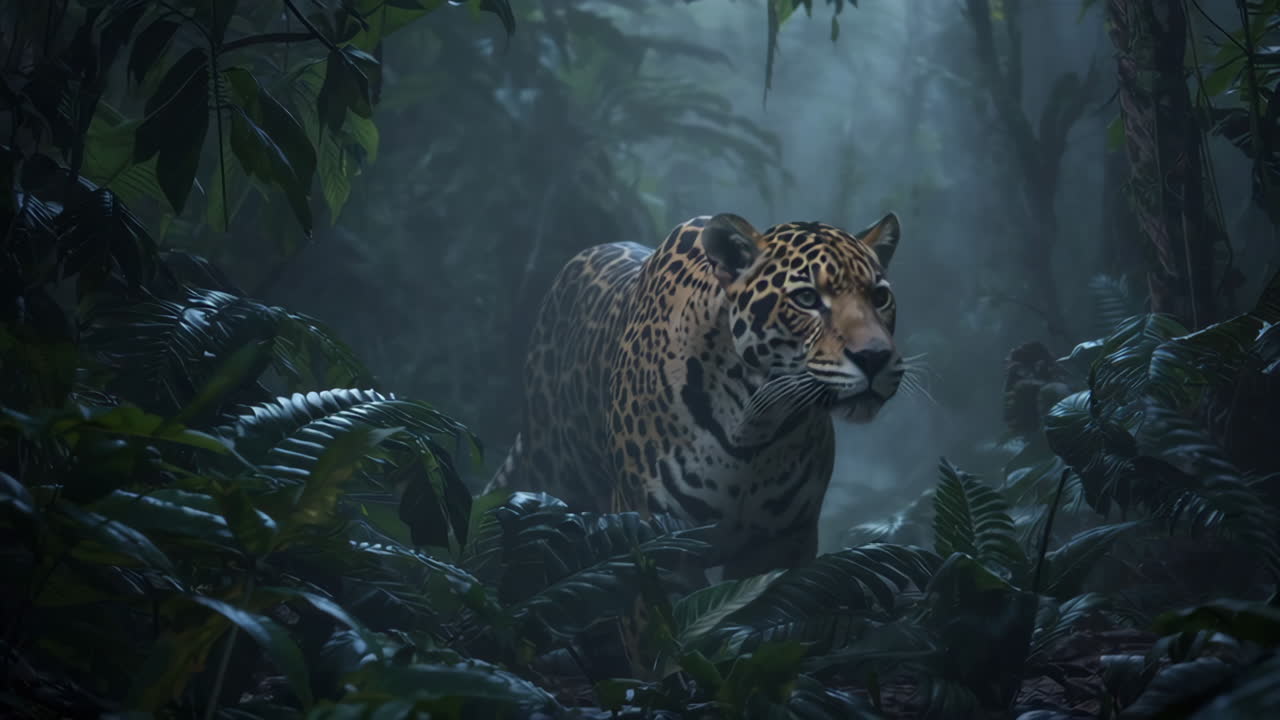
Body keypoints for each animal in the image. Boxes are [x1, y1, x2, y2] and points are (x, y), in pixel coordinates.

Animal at [484, 210, 905, 582]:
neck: (756, 427)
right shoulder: (653, 539)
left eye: (879, 297)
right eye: (805, 298)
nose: (874, 357)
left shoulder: (783, 543)